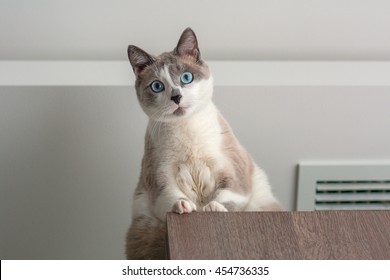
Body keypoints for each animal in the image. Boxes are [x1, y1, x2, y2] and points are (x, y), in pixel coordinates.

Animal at [125, 27, 280, 260]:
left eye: (186, 77)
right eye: (157, 86)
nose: (176, 97)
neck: (186, 128)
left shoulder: (234, 171)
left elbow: (228, 195)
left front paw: (212, 208)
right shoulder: (158, 176)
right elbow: (170, 196)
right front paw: (183, 205)